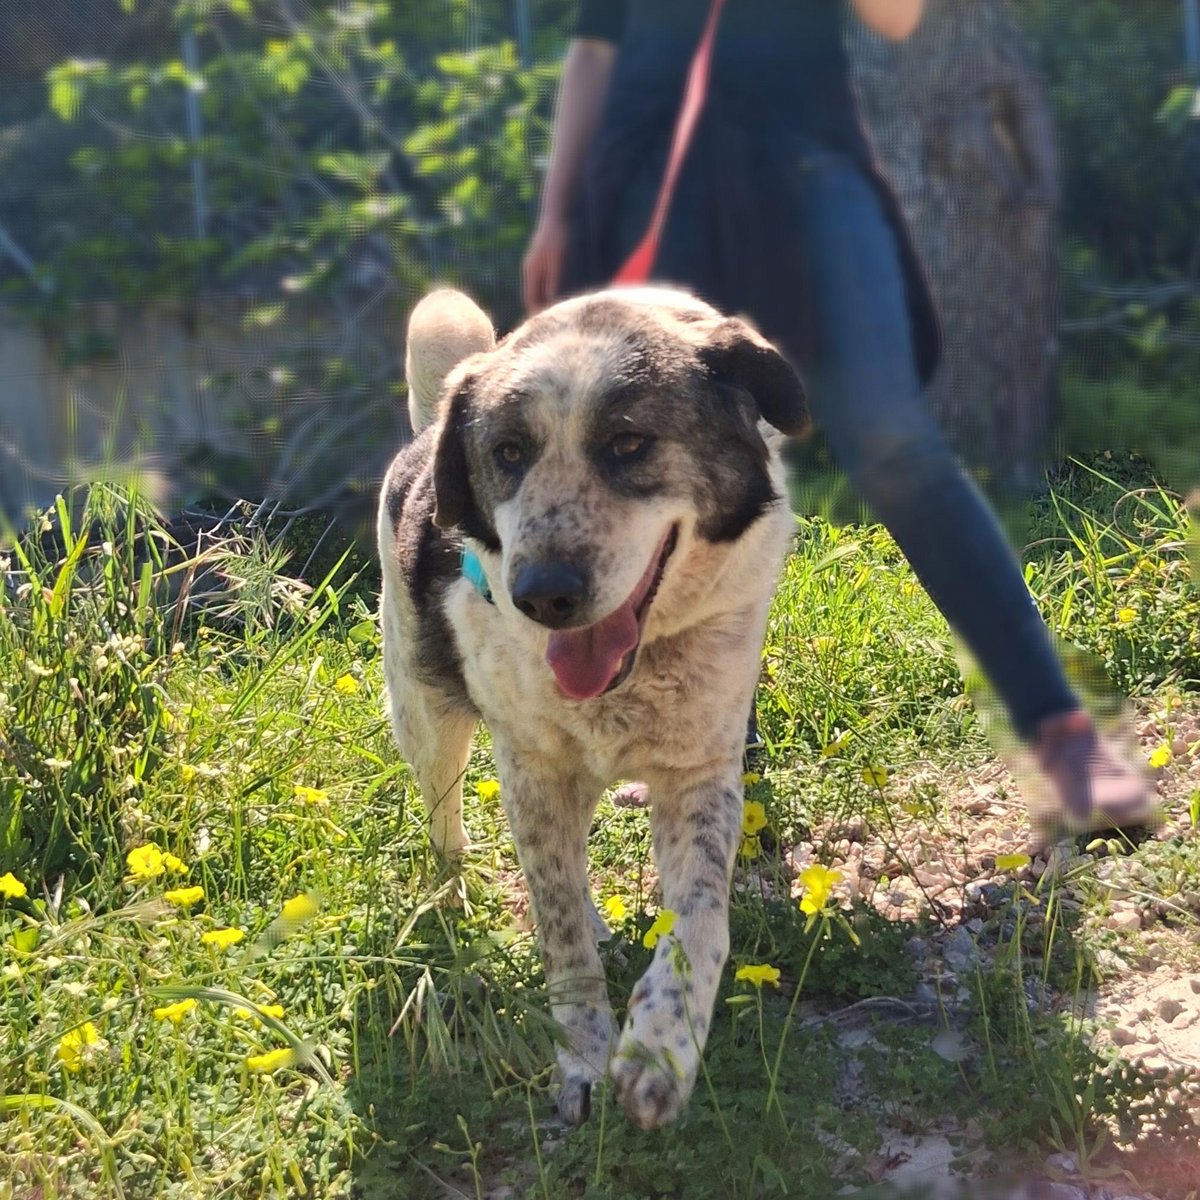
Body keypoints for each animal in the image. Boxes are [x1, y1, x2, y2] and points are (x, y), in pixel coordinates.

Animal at [378, 285, 808, 1130]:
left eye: (629, 442)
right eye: (508, 453)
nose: (541, 595)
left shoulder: (700, 772)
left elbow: (700, 919)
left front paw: (659, 1048)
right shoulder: (533, 773)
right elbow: (559, 927)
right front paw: (581, 1054)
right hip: (427, 716)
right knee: (449, 828)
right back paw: (455, 900)